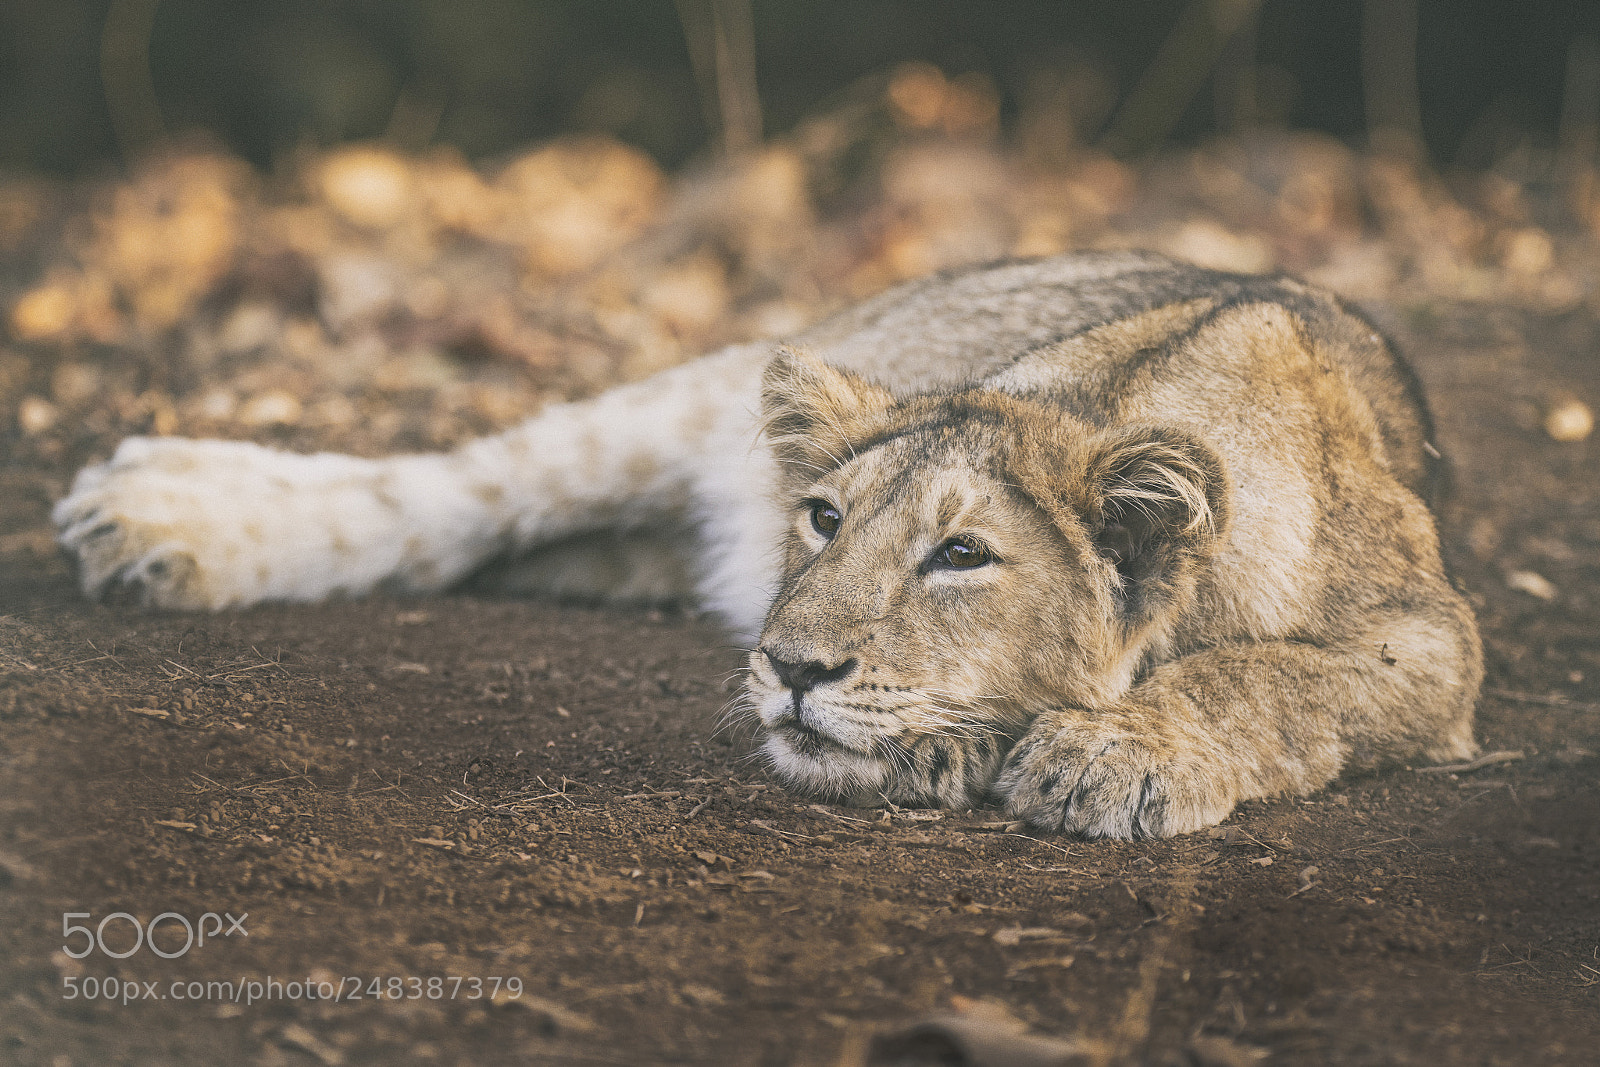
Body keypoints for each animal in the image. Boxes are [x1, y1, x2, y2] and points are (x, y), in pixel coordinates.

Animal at [53, 251, 1481, 838]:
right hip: (682, 403)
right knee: (442, 498)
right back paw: (150, 517)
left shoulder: (1434, 642)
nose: (789, 667)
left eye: (961, 556)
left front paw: (1104, 752)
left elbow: (1271, 676)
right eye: (824, 520)